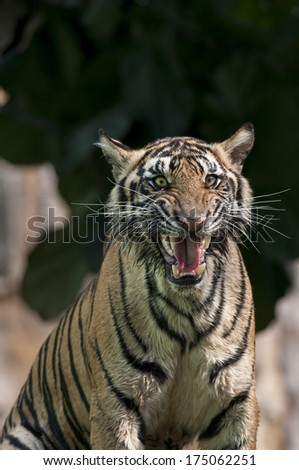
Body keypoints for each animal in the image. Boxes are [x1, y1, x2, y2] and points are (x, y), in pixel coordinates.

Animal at [0, 123, 258, 450]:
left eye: (211, 180)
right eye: (160, 182)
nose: (193, 221)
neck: (188, 305)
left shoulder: (236, 401)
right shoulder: (115, 403)